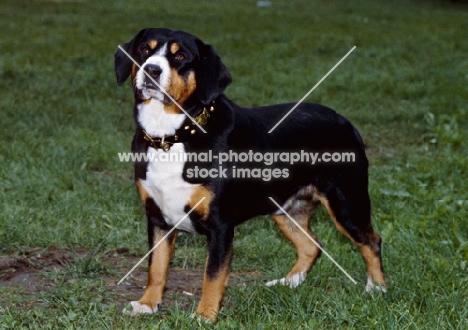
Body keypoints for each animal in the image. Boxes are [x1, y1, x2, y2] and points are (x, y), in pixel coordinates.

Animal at [114, 28, 388, 322]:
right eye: (144, 49)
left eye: (181, 56)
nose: (151, 69)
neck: (173, 135)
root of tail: (345, 121)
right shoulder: (158, 218)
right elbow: (156, 267)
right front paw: (147, 304)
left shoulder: (220, 225)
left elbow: (212, 275)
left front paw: (204, 315)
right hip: (285, 208)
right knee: (311, 245)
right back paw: (287, 282)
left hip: (346, 203)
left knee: (371, 241)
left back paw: (377, 288)